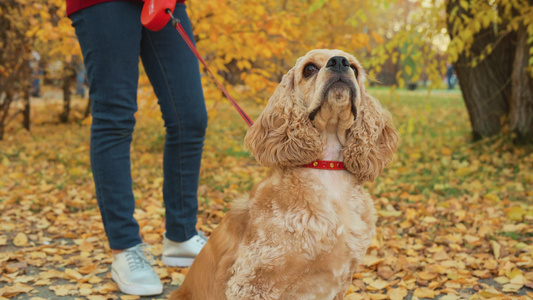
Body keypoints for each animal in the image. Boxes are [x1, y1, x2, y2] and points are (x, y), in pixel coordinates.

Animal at [168, 48, 396, 298]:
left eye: (354, 68)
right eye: (309, 69)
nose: (339, 62)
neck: (326, 168)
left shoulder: (341, 277)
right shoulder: (253, 280)